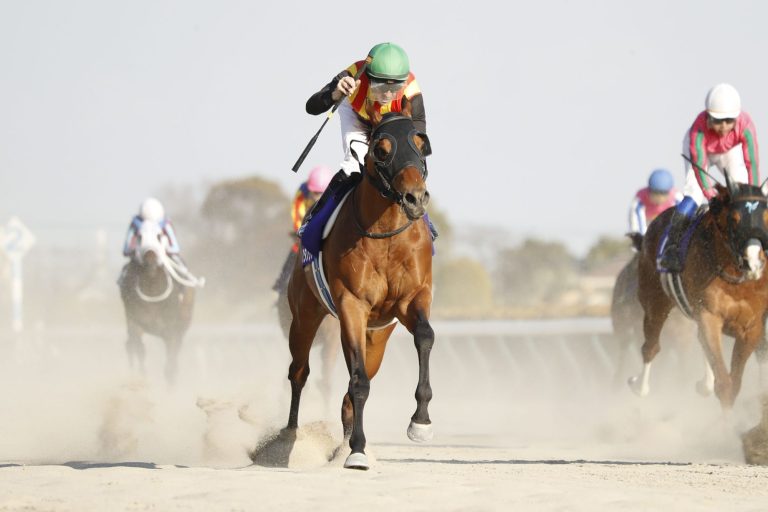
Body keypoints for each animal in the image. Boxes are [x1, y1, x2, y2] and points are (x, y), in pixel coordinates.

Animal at [118, 220, 199, 385]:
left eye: (159, 235)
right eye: (139, 236)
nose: (150, 258)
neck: (152, 287)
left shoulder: (172, 328)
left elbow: (170, 366)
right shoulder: (135, 321)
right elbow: (139, 349)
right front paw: (141, 379)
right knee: (130, 346)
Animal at [284, 103, 434, 470]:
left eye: (421, 144)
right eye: (381, 150)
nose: (415, 198)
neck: (387, 235)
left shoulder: (411, 300)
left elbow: (425, 336)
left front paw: (420, 422)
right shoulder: (352, 306)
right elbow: (358, 382)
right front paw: (358, 451)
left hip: (377, 336)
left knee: (347, 390)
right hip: (305, 315)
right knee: (299, 372)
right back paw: (286, 441)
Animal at [629, 178, 768, 410]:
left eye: (766, 218)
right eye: (734, 219)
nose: (754, 263)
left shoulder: (751, 328)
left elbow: (735, 381)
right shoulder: (709, 316)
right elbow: (725, 384)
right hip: (654, 303)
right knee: (651, 347)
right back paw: (639, 385)